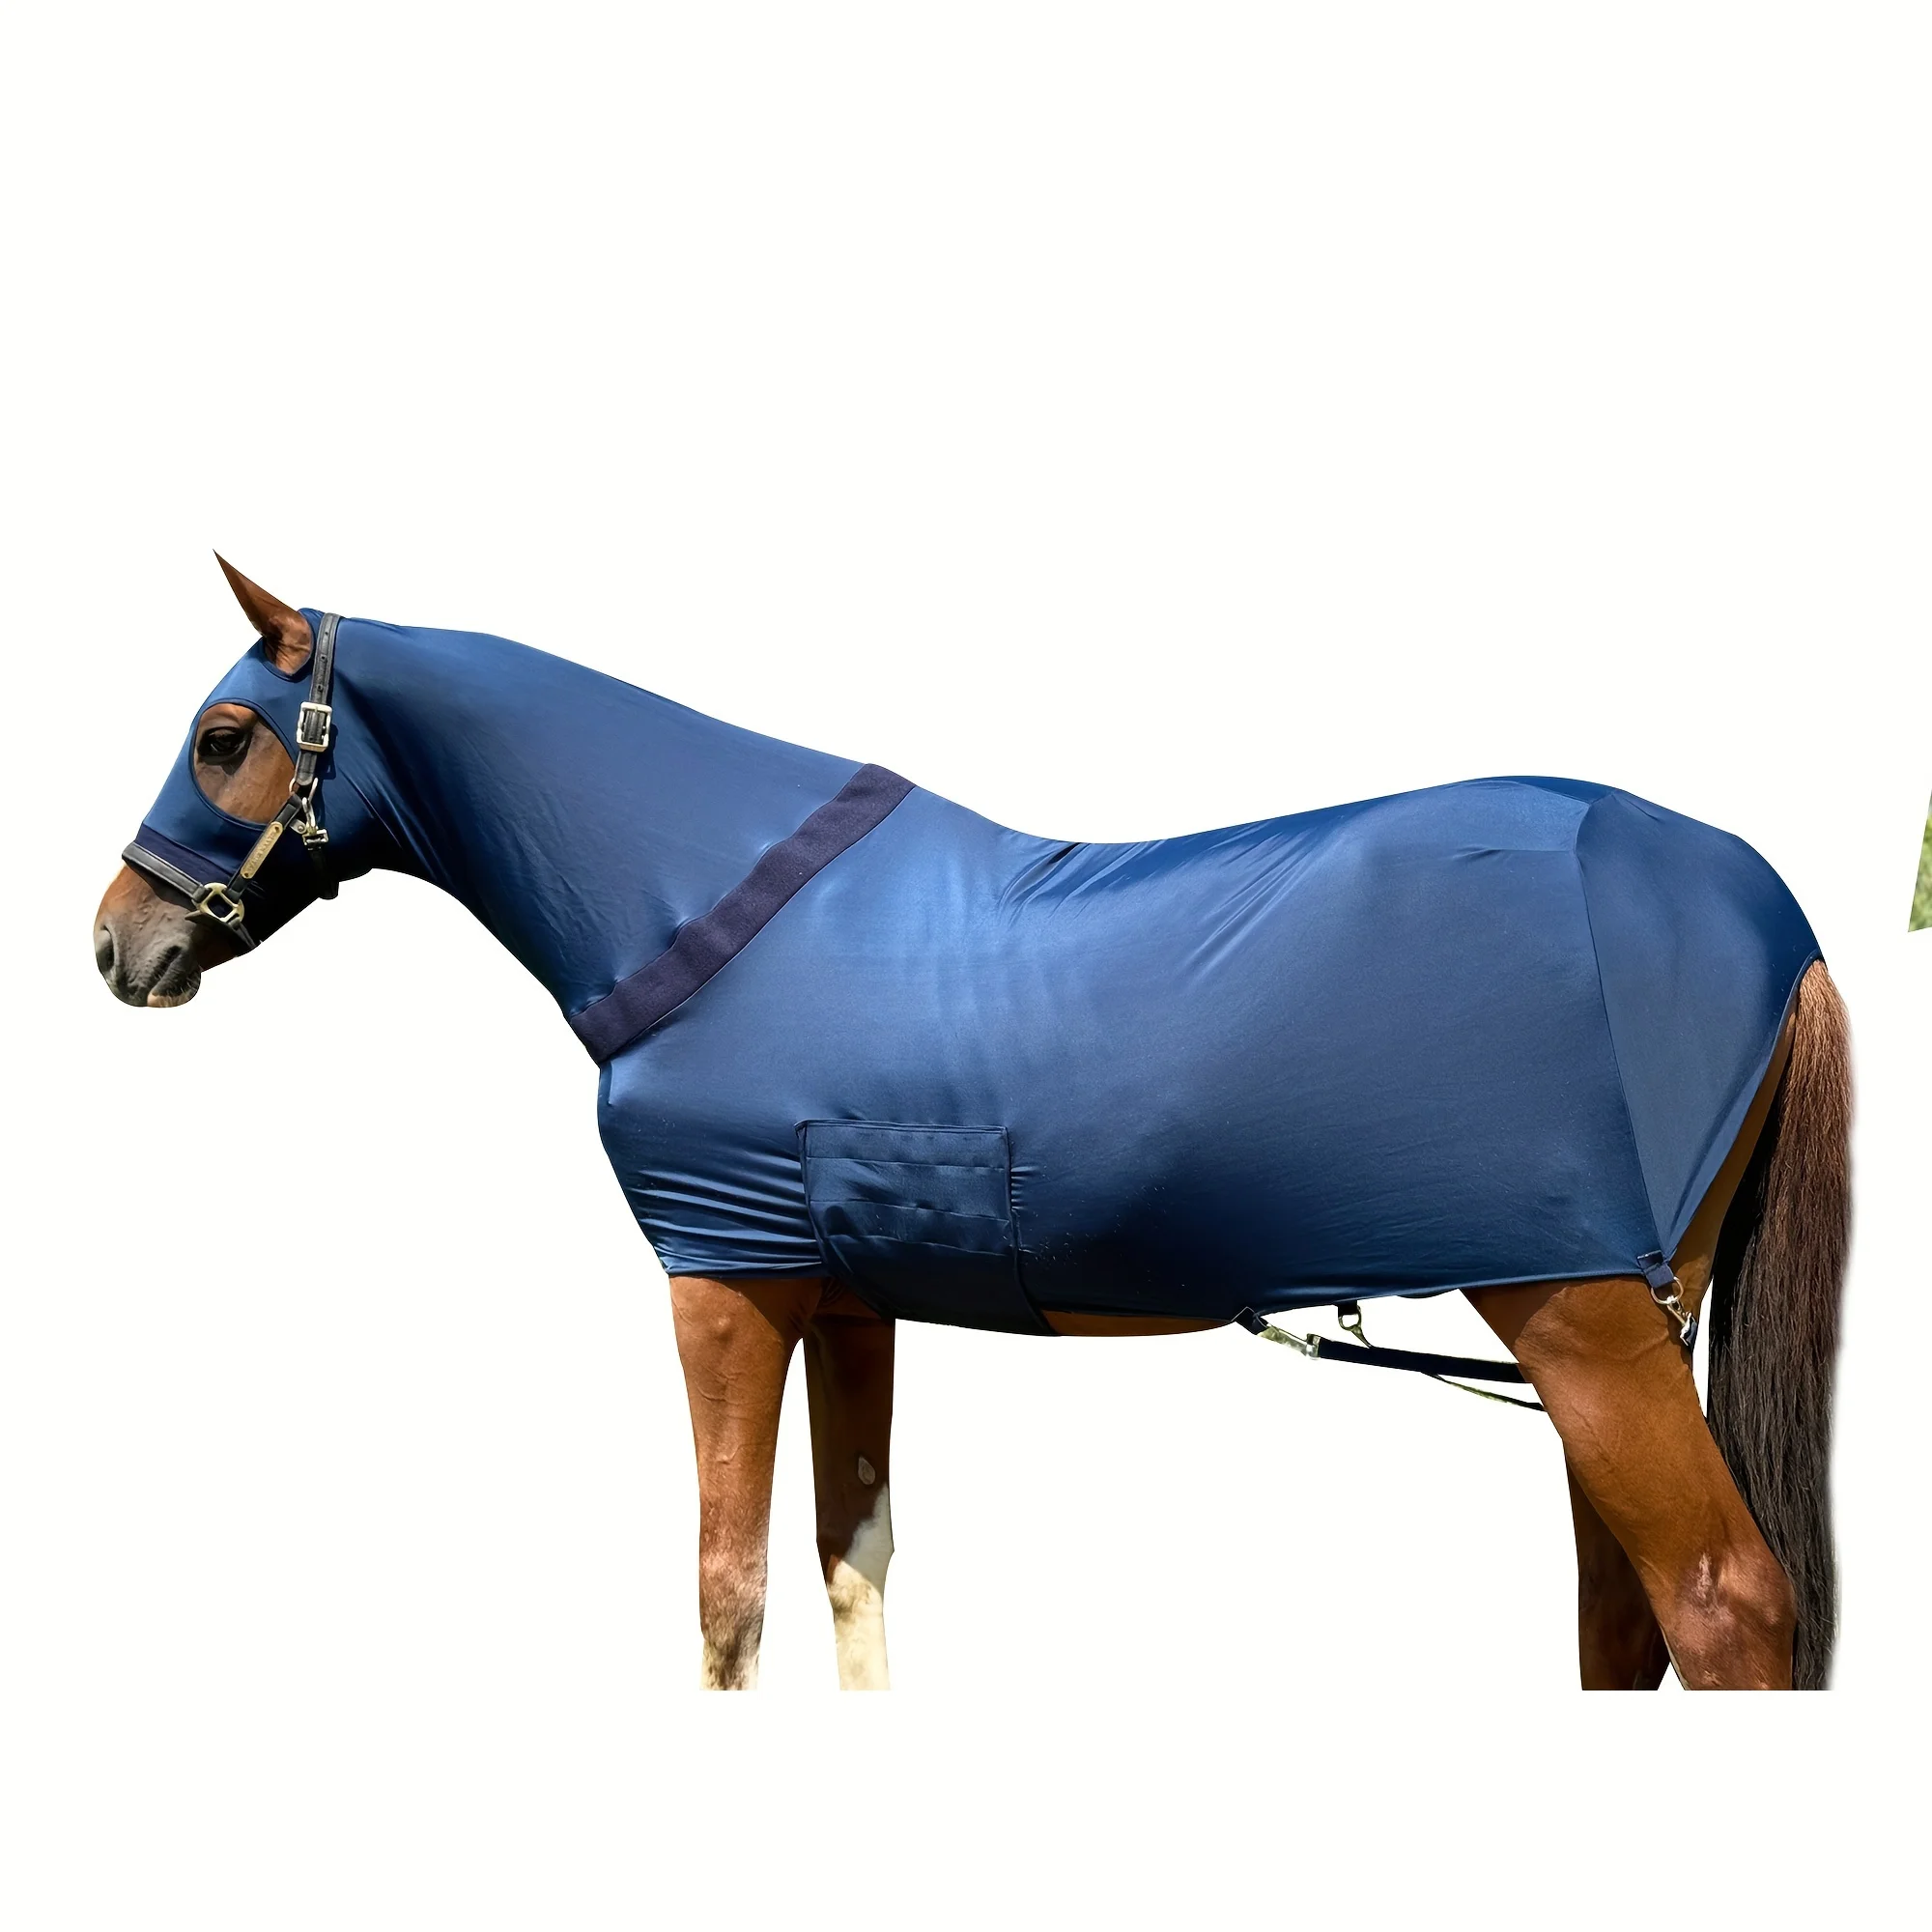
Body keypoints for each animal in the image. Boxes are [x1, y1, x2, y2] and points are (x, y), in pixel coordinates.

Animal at [95, 557, 1850, 1690]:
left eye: (223, 737)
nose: (121, 945)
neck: (705, 905)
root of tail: (1765, 910)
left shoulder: (722, 1284)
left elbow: (727, 1597)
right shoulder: (842, 1292)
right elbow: (851, 1564)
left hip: (1581, 1316)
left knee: (1720, 1606)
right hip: (1620, 1317)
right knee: (1623, 1618)